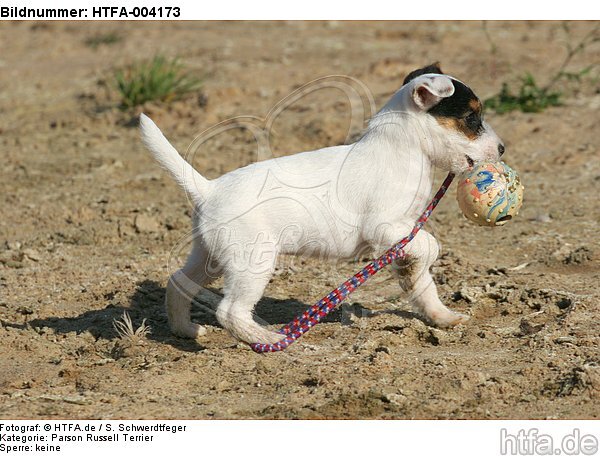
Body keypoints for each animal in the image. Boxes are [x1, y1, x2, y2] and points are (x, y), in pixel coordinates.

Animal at [139, 63, 502, 342]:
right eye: (471, 118)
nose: (502, 149)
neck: (404, 149)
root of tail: (209, 188)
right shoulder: (386, 228)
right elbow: (430, 245)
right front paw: (420, 267)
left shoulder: (403, 234)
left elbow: (423, 281)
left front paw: (441, 315)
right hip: (252, 262)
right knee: (230, 311)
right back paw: (265, 338)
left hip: (209, 256)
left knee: (178, 282)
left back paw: (185, 330)